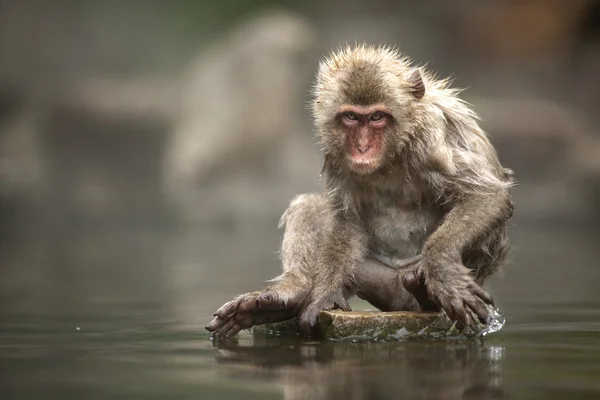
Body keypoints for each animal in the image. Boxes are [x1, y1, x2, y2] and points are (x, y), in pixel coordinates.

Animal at [206, 43, 516, 338]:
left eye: (377, 117)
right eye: (352, 118)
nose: (363, 147)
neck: (393, 152)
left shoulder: (431, 140)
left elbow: (485, 194)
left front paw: (443, 271)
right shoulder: (335, 152)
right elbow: (347, 219)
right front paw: (322, 297)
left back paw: (425, 296)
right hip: (375, 279)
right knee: (310, 205)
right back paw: (292, 292)